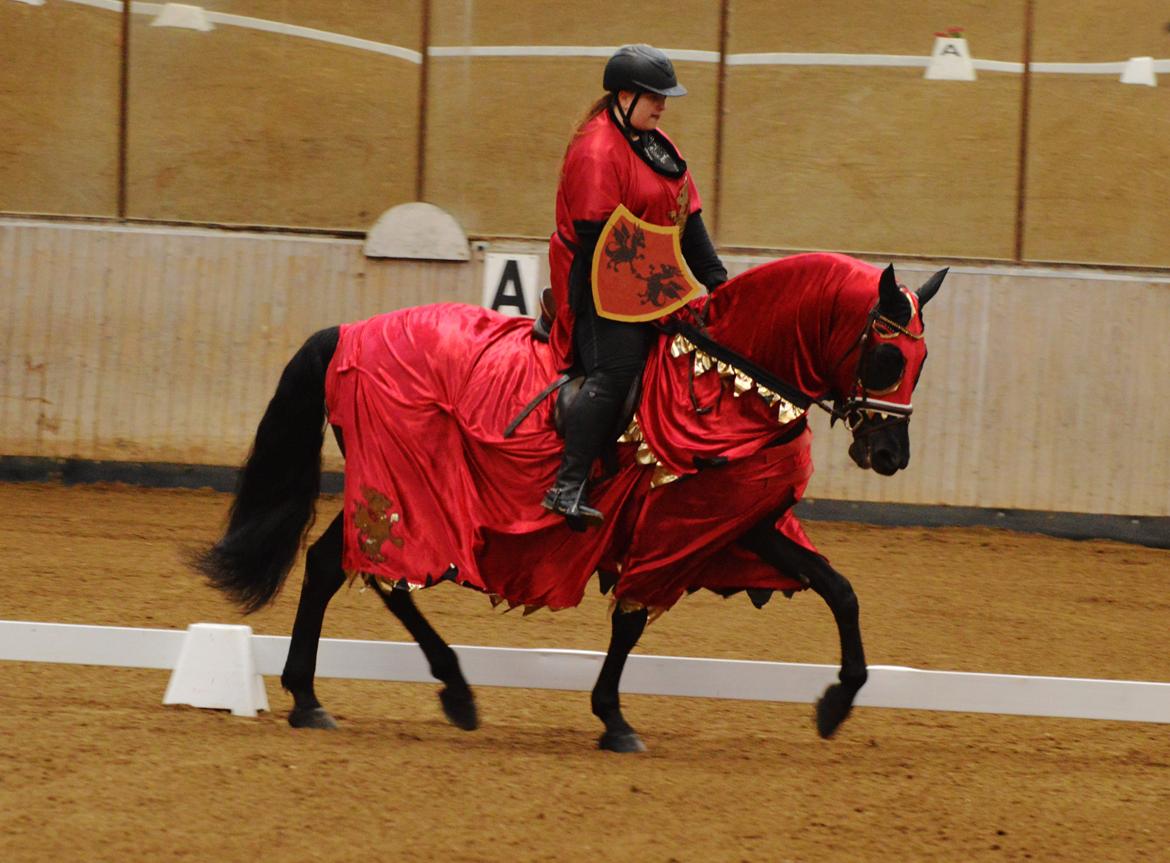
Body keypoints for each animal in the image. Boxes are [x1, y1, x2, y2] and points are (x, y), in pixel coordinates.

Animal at [189, 252, 940, 748]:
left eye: (922, 362)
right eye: (887, 359)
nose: (889, 456)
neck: (728, 380)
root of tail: (348, 331)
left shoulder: (736, 521)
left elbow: (837, 588)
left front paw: (837, 703)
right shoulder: (680, 523)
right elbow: (632, 618)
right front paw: (614, 718)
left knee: (330, 565)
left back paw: (312, 697)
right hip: (406, 486)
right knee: (380, 571)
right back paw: (446, 690)